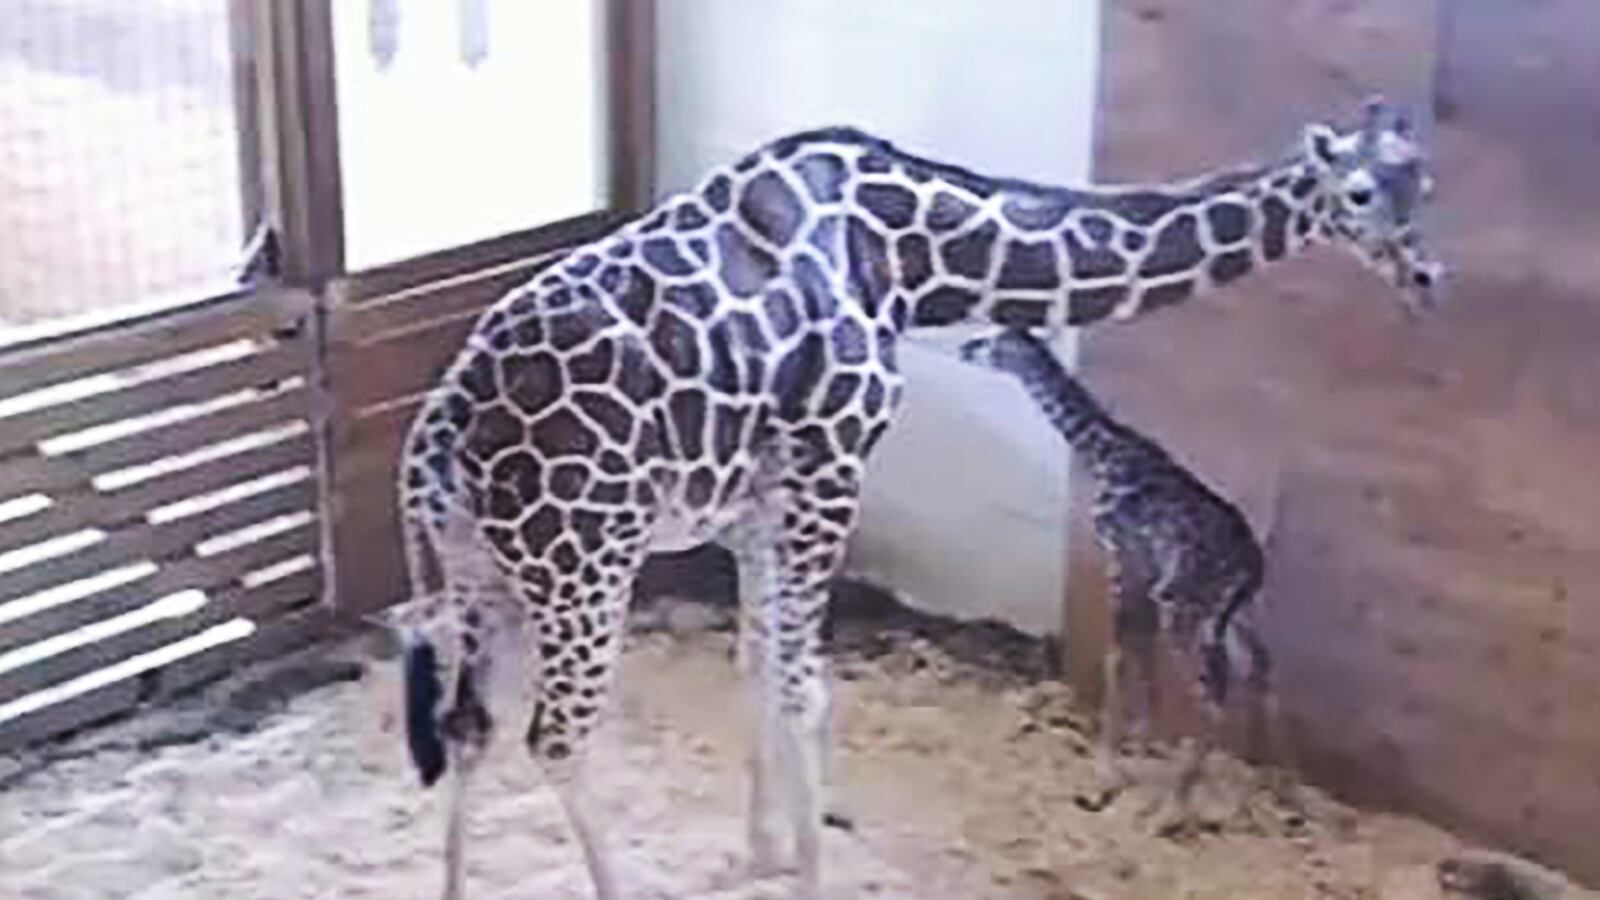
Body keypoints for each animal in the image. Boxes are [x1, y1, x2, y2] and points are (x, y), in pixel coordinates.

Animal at [960, 327, 1274, 838]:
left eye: (992, 341)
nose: (964, 347)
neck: (1103, 449)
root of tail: (1252, 565)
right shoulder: (1142, 570)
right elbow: (1137, 657)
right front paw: (1139, 742)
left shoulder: (1123, 558)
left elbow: (1119, 656)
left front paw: (1105, 771)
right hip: (1227, 610)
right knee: (1257, 665)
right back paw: (1242, 799)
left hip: (1184, 604)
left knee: (1210, 690)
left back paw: (1172, 810)